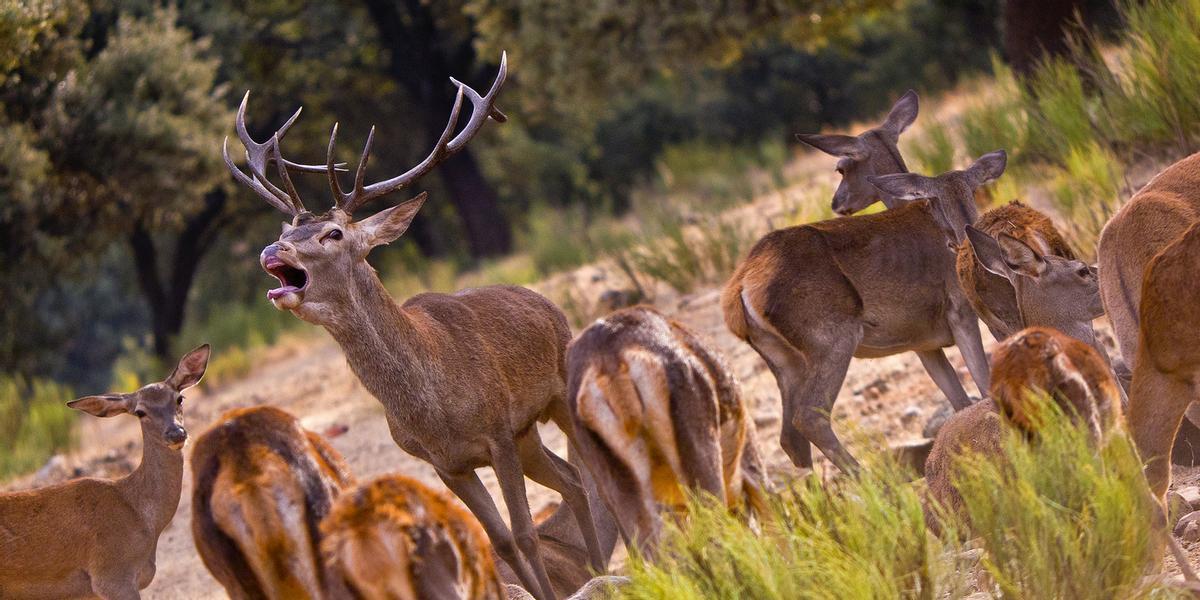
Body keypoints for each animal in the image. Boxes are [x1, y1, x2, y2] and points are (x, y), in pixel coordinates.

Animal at [222, 53, 604, 600]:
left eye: (333, 233)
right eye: (287, 229)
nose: (273, 250)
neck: (435, 407)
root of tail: (545, 302)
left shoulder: (497, 432)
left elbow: (526, 534)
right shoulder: (444, 462)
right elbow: (502, 541)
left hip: (555, 395)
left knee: (586, 471)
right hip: (528, 430)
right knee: (571, 478)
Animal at [722, 151, 1004, 472]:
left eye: (972, 191)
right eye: (936, 201)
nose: (963, 240)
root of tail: (740, 289)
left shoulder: (922, 341)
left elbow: (959, 401)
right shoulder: (960, 312)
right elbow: (982, 382)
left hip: (784, 359)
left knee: (790, 437)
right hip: (831, 337)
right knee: (809, 416)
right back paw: (871, 479)